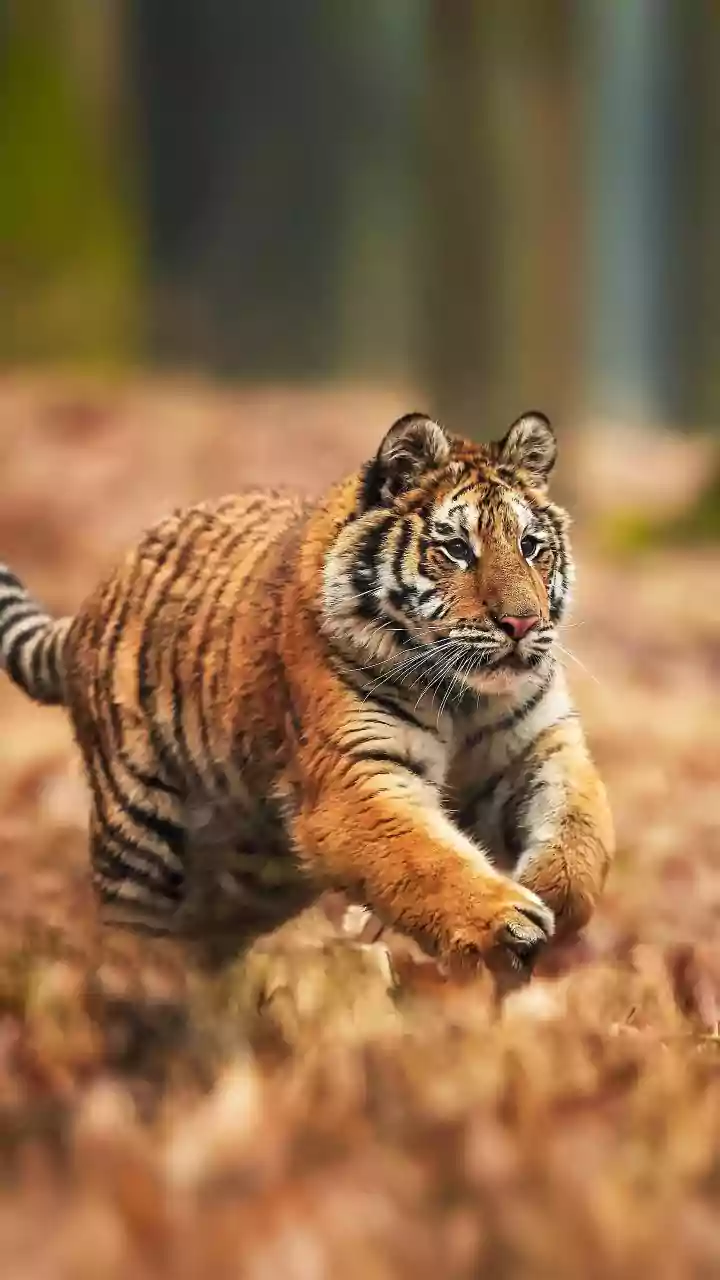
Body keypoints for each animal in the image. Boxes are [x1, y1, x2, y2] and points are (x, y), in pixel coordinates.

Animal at [0, 409, 613, 978]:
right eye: (458, 549)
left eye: (531, 546)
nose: (522, 623)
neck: (466, 698)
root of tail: (87, 607)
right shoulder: (354, 774)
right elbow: (426, 857)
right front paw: (507, 921)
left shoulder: (540, 743)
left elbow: (581, 824)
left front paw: (552, 895)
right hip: (139, 842)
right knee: (131, 936)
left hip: (256, 870)